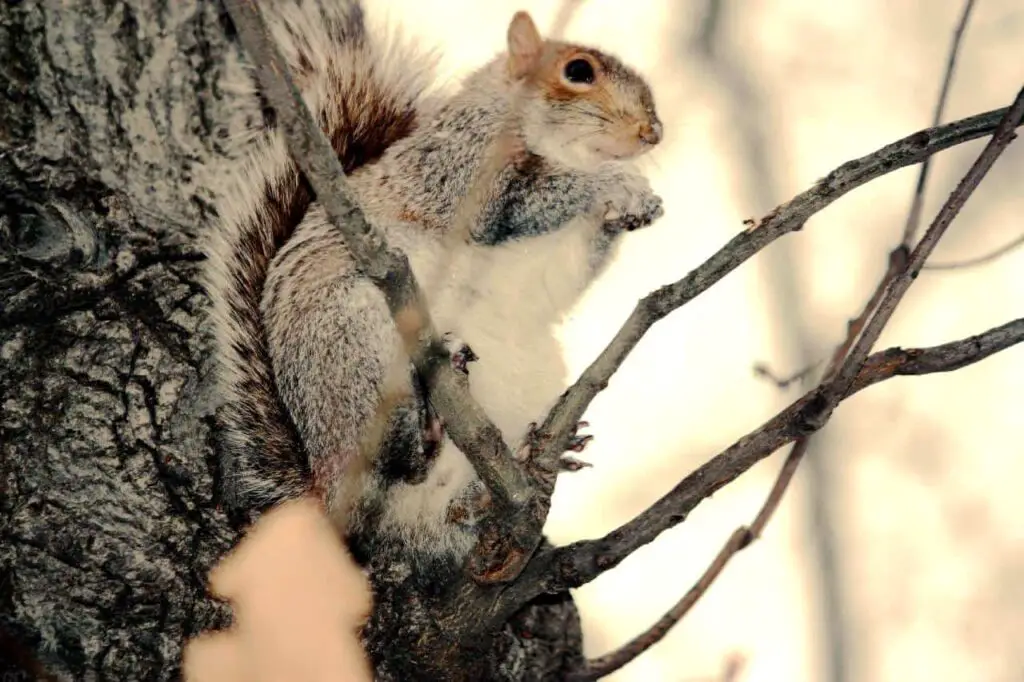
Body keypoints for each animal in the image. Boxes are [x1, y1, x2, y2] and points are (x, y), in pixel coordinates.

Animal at [201, 0, 663, 561]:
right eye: (578, 71)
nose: (652, 132)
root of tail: (325, 496)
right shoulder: (461, 168)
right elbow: (521, 201)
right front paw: (619, 185)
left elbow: (569, 273)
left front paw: (633, 209)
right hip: (356, 349)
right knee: (389, 464)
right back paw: (424, 431)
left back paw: (530, 454)